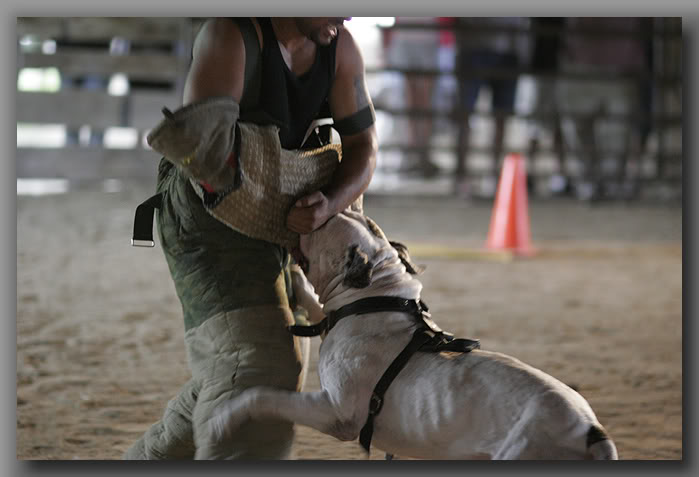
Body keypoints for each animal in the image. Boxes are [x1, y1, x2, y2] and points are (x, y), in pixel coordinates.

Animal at [211, 208, 620, 458]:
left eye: (322, 223)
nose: (304, 212)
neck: (377, 298)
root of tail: (590, 430)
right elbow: (317, 306)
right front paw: (297, 282)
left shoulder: (334, 411)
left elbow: (264, 396)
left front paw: (225, 417)